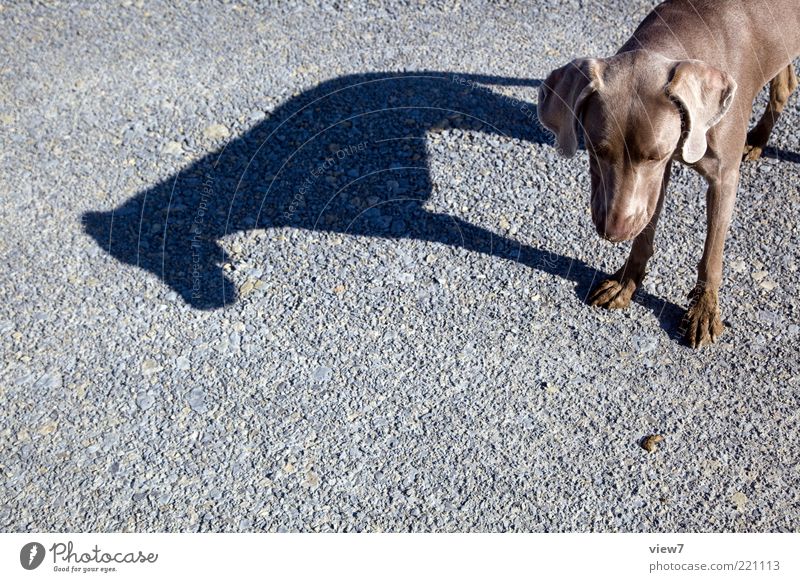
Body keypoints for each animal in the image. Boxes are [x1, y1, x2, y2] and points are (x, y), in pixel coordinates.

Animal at [536, 0, 800, 346]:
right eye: (595, 149)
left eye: (655, 154)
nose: (613, 232)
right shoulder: (658, 177)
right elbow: (645, 229)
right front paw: (626, 282)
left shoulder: (720, 176)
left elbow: (712, 253)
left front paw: (704, 310)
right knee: (785, 83)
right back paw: (758, 139)